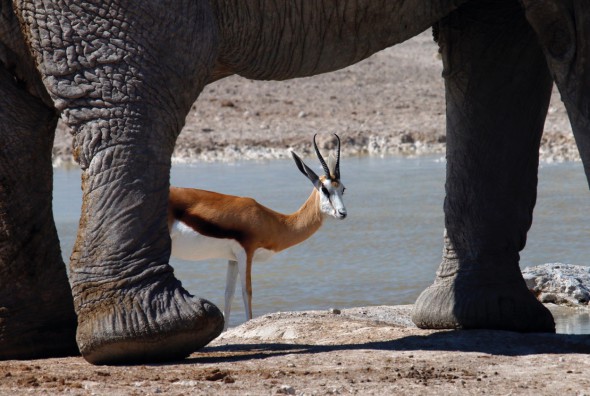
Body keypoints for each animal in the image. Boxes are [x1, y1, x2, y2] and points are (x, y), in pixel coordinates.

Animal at [0, 0, 588, 364]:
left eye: (345, 189)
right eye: (324, 189)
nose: (345, 215)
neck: (273, 218)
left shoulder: (233, 257)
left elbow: (234, 299)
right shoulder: (248, 251)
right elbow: (250, 299)